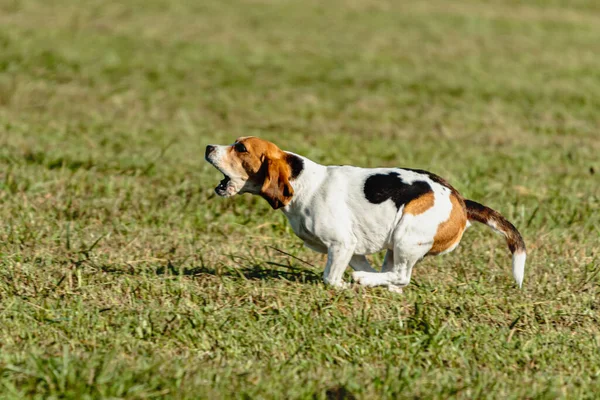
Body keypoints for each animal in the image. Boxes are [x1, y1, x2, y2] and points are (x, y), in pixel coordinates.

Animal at [206, 137, 524, 290]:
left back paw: (366, 282)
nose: (209, 147)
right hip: (395, 245)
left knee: (401, 277)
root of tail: (460, 200)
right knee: (394, 277)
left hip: (407, 235)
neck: (302, 180)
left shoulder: (341, 244)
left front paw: (345, 286)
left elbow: (331, 279)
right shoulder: (354, 250)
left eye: (241, 148)